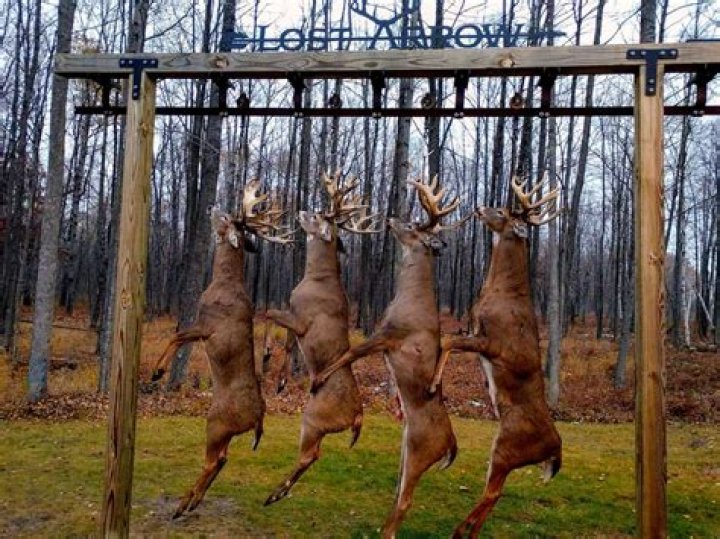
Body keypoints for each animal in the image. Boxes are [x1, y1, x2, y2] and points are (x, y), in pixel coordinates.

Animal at [150, 179, 292, 519]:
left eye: (227, 217)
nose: (212, 205)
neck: (223, 282)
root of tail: (258, 419)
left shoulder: (207, 326)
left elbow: (177, 336)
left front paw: (156, 371)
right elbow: (178, 337)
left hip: (216, 422)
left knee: (213, 460)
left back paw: (182, 505)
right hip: (225, 430)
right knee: (223, 459)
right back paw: (193, 501)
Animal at [263, 170, 382, 506]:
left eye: (317, 215)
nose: (302, 209)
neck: (316, 277)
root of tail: (358, 416)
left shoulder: (302, 318)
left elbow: (266, 313)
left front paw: (266, 354)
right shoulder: (296, 319)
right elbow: (288, 340)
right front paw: (280, 381)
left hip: (314, 418)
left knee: (309, 455)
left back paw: (274, 494)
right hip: (319, 425)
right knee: (315, 455)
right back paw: (279, 493)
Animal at [310, 175, 461, 539]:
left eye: (412, 225)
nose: (391, 218)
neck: (410, 298)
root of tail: (450, 443)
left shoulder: (388, 335)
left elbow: (349, 352)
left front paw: (321, 377)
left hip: (421, 451)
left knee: (405, 500)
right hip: (406, 450)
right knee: (398, 494)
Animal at [427, 173, 563, 538]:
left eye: (501, 211)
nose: (479, 207)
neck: (502, 292)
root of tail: (556, 450)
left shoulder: (493, 343)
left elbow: (448, 341)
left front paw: (432, 385)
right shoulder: (475, 331)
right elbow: (448, 339)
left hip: (507, 447)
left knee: (492, 492)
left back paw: (460, 530)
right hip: (506, 455)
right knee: (495, 492)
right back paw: (469, 531)